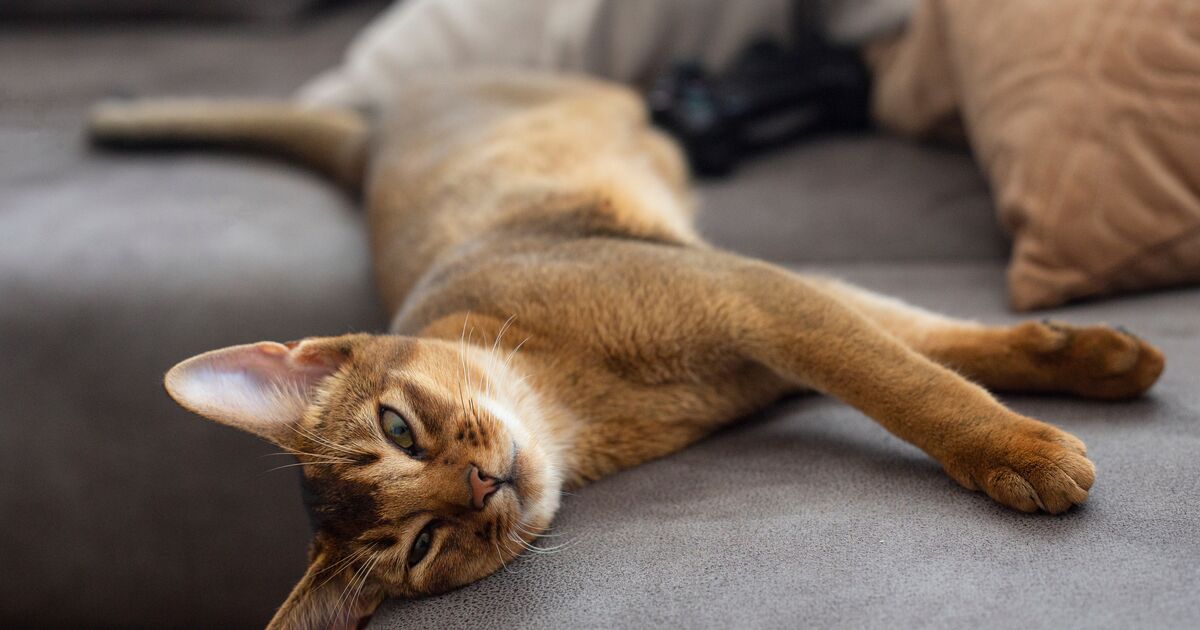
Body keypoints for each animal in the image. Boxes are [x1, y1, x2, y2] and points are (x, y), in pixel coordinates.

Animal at [91, 68, 1161, 628]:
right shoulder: (772, 322)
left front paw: (1038, 431)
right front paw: (1083, 380)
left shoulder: (754, 296)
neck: (584, 406)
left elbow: (913, 373)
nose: (479, 484)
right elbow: (928, 352)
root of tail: (371, 140)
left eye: (397, 428)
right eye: (422, 547)